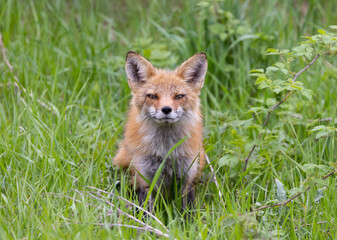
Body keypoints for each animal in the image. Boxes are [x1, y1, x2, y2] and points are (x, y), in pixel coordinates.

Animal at [113, 51, 207, 213]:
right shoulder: (145, 178)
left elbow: (188, 212)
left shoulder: (187, 177)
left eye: (179, 96)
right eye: (152, 96)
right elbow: (146, 213)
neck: (166, 150)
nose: (166, 109)